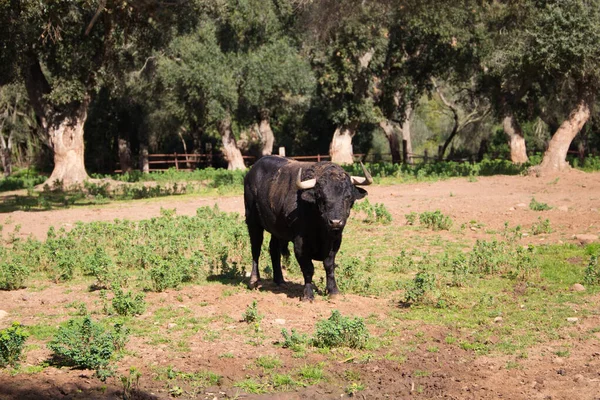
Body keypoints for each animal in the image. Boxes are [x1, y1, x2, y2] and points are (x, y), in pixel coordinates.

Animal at [243, 155, 370, 300]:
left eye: (348, 197)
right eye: (321, 196)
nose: (336, 222)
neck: (321, 230)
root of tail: (252, 171)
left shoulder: (336, 241)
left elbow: (329, 266)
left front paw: (333, 291)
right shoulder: (300, 244)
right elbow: (308, 269)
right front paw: (308, 295)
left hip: (277, 230)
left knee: (274, 250)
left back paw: (280, 280)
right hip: (252, 221)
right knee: (256, 249)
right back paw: (254, 281)